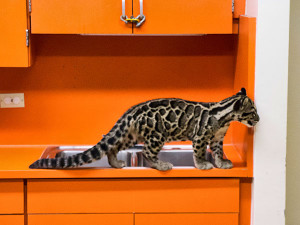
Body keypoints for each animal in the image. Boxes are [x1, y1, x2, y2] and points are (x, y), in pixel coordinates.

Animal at [31, 88, 260, 171]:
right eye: (252, 111)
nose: (258, 119)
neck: (225, 117)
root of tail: (131, 112)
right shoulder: (200, 137)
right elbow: (199, 153)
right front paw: (203, 164)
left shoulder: (217, 139)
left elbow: (219, 152)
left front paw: (222, 163)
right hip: (157, 135)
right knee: (147, 152)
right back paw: (161, 165)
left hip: (131, 136)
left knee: (114, 147)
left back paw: (116, 164)